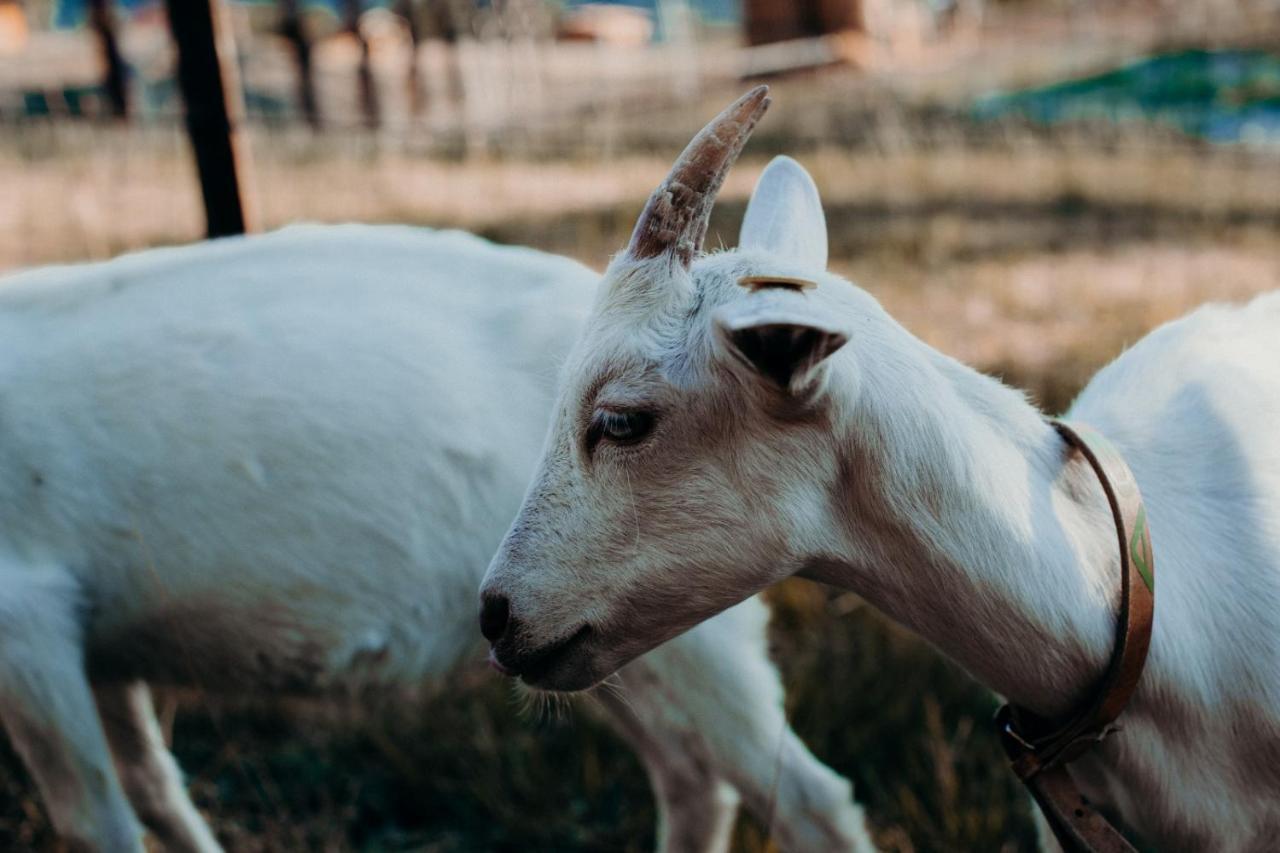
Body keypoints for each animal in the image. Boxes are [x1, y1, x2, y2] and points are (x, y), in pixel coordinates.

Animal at [0, 225, 870, 850]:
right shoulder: (98, 648)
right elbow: (153, 790)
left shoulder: (26, 623)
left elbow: (94, 819)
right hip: (596, 640)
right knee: (692, 776)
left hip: (693, 629)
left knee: (808, 797)